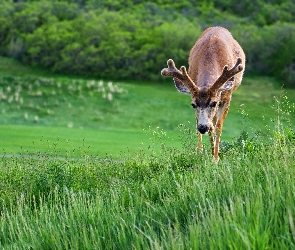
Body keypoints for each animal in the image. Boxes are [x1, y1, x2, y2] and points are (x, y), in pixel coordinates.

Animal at [161, 26, 246, 160]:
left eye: (214, 103)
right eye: (193, 104)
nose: (202, 127)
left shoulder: (226, 98)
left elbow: (218, 127)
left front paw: (216, 158)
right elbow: (209, 127)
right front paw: (205, 153)